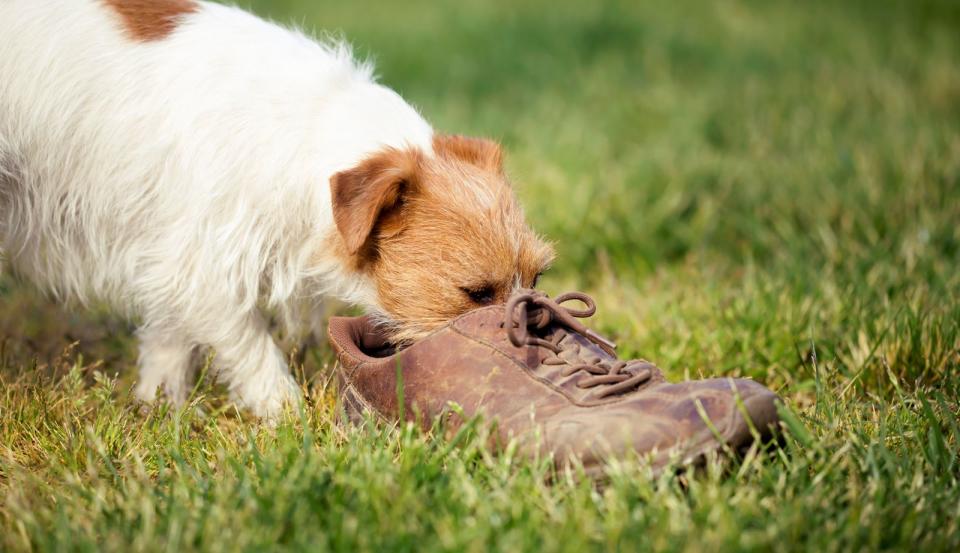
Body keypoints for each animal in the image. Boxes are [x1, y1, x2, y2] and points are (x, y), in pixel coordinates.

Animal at [0, 0, 556, 414]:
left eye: (538, 278)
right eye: (475, 293)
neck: (309, 133)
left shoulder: (174, 253)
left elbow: (168, 337)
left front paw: (159, 407)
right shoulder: (206, 260)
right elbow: (249, 345)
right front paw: (285, 415)